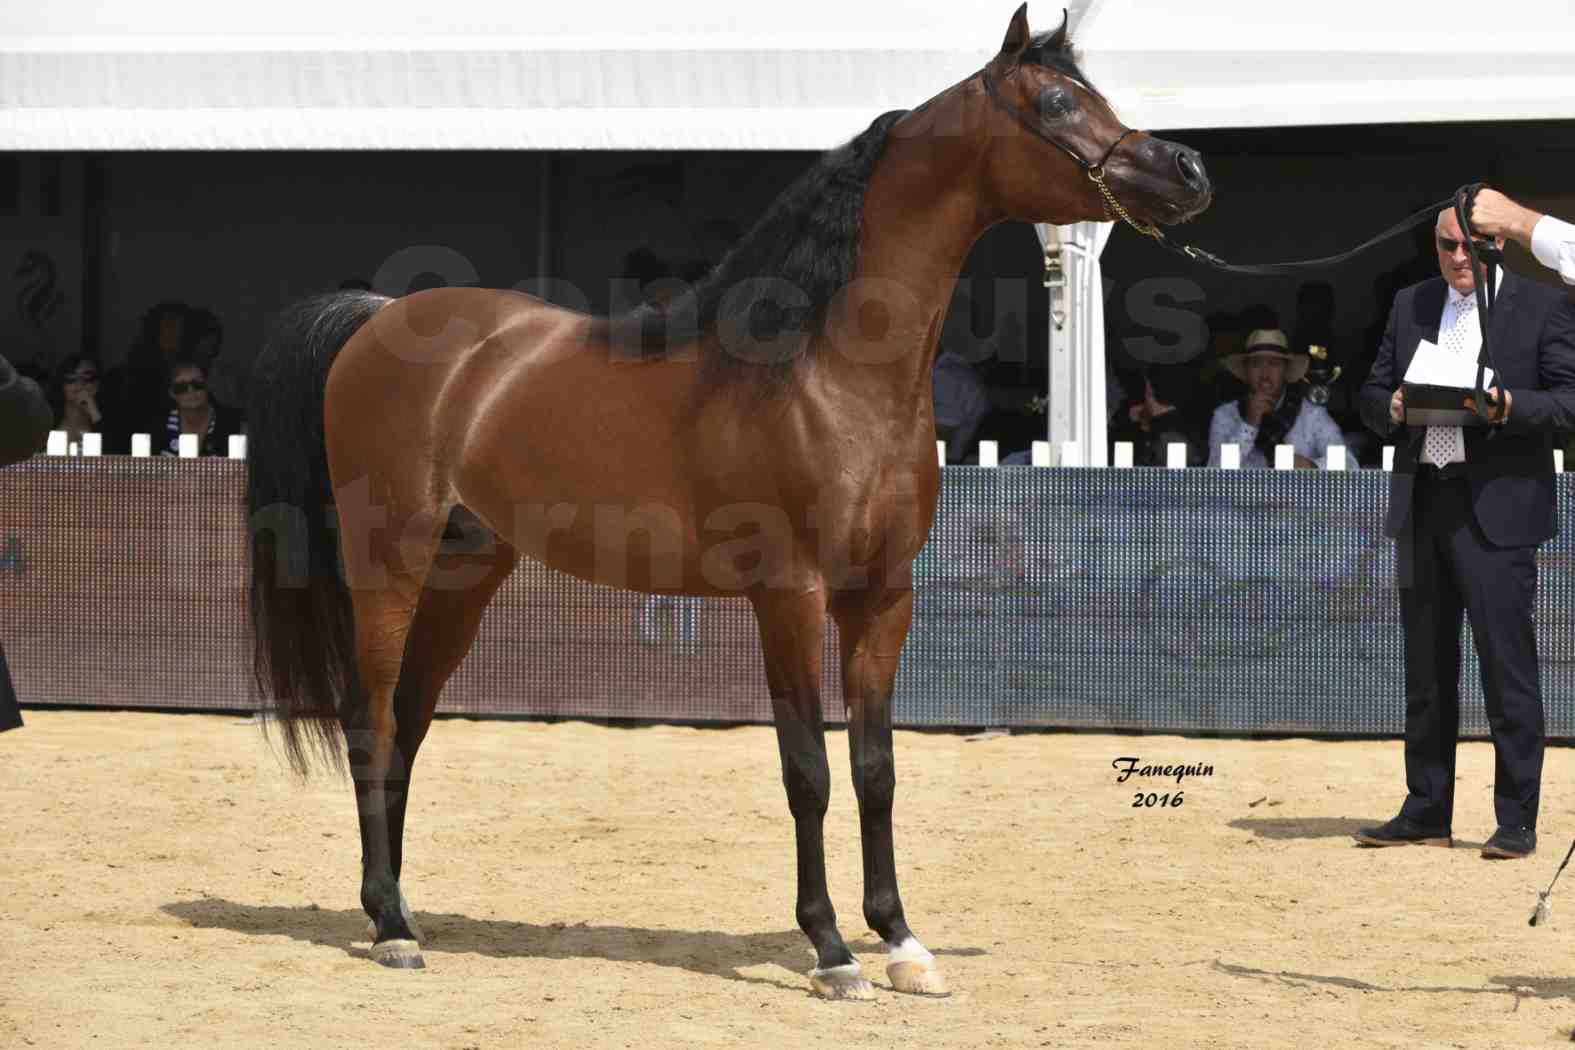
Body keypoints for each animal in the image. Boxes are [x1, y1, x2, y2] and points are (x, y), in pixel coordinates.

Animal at [245, 2, 1209, 1001]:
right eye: (1056, 102)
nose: (1187, 171)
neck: (824, 373)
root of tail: (376, 316)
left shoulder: (882, 599)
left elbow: (874, 769)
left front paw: (901, 942)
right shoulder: (789, 595)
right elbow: (807, 770)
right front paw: (830, 951)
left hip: (464, 575)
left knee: (407, 729)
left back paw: (397, 910)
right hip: (387, 570)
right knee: (369, 722)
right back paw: (391, 926)